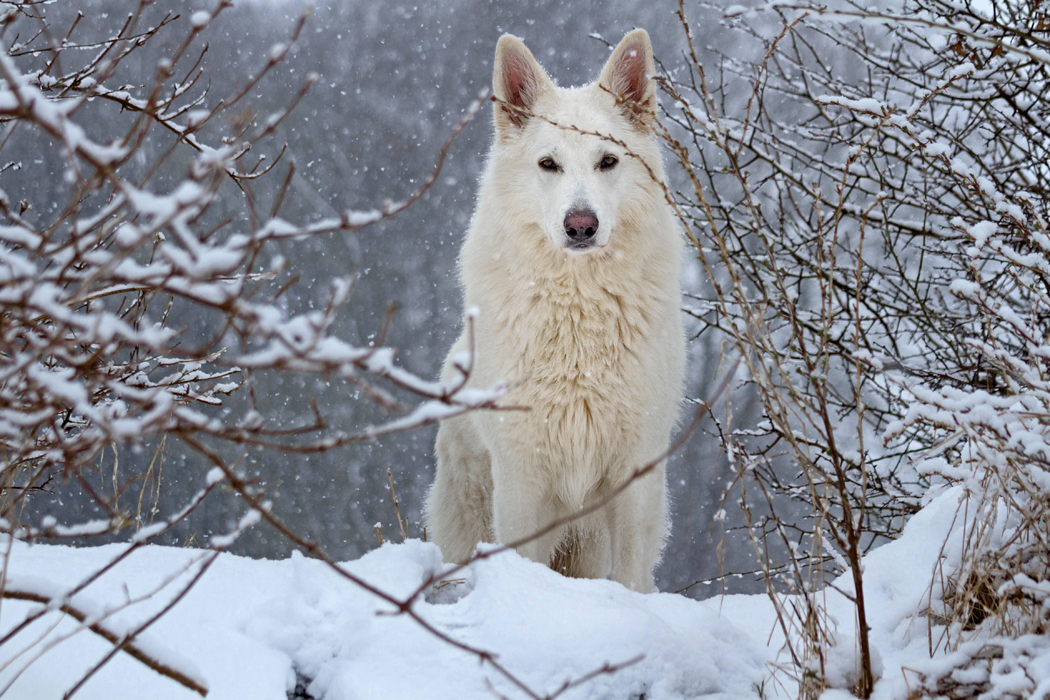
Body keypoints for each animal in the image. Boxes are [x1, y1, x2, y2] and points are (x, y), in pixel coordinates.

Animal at [422, 30, 684, 596]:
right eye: (549, 164)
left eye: (608, 161)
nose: (580, 225)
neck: (578, 314)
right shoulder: (523, 478)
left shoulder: (636, 473)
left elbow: (632, 577)